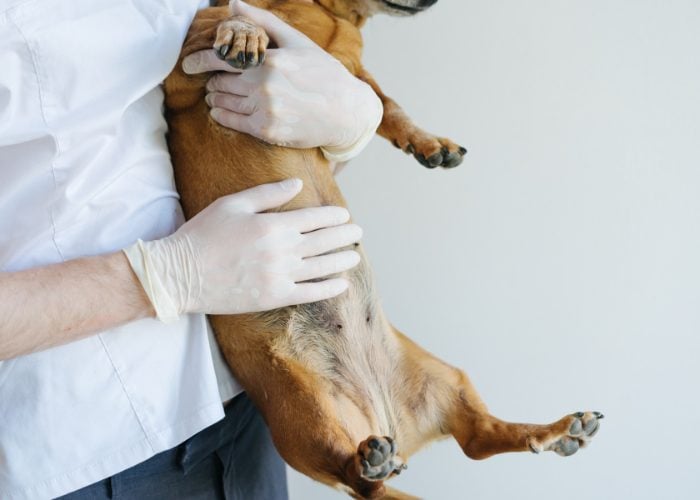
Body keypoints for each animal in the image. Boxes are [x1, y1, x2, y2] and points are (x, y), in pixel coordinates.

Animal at [163, 1, 600, 498]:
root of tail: (385, 420)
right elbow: (226, 18)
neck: (325, 15)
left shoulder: (351, 77)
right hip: (301, 407)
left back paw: (556, 430)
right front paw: (243, 33)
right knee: (361, 478)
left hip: (448, 377)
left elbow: (384, 103)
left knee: (476, 437)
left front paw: (428, 142)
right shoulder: (181, 79)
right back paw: (370, 462)